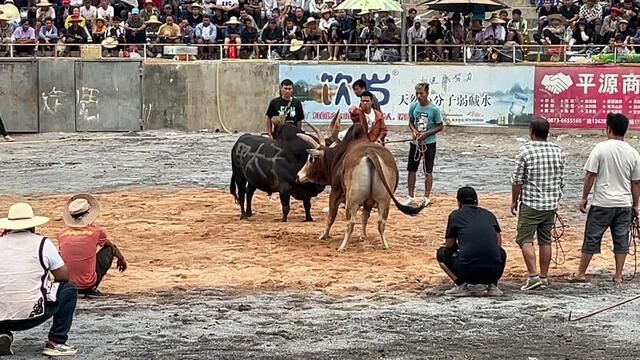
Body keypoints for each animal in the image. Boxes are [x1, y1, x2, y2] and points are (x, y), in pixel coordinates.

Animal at [298, 121, 428, 250]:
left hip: (352, 200)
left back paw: (343, 246)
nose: (299, 175)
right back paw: (385, 245)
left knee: (350, 222)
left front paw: (323, 235)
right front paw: (363, 236)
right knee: (381, 222)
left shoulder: (335, 192)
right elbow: (365, 217)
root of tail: (370, 152)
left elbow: (331, 217)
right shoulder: (368, 201)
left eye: (311, 159)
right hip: (384, 200)